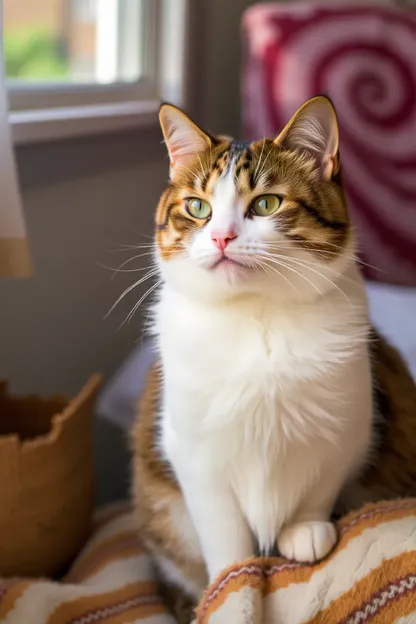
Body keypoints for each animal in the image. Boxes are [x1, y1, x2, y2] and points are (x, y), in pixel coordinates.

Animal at [130, 95, 416, 620]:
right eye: (197, 208)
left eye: (266, 204)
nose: (221, 237)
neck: (256, 315)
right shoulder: (193, 451)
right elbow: (223, 532)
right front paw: (230, 580)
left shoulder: (346, 427)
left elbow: (319, 484)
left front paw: (303, 530)